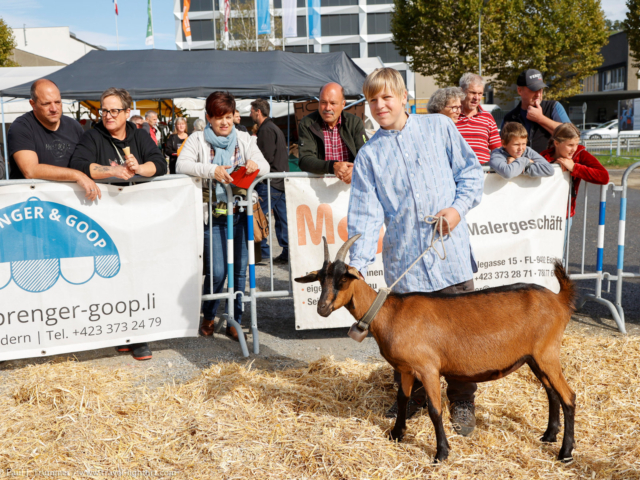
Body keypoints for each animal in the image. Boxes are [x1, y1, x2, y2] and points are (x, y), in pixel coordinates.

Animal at [296, 235, 580, 462]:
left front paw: (441, 452)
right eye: (320, 279)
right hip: (535, 357)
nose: (322, 308)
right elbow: (403, 398)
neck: (388, 313)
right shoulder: (406, 369)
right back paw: (548, 435)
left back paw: (565, 452)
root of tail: (559, 300)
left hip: (547, 353)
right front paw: (396, 433)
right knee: (552, 393)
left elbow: (435, 410)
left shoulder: (428, 368)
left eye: (343, 279)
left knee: (568, 396)